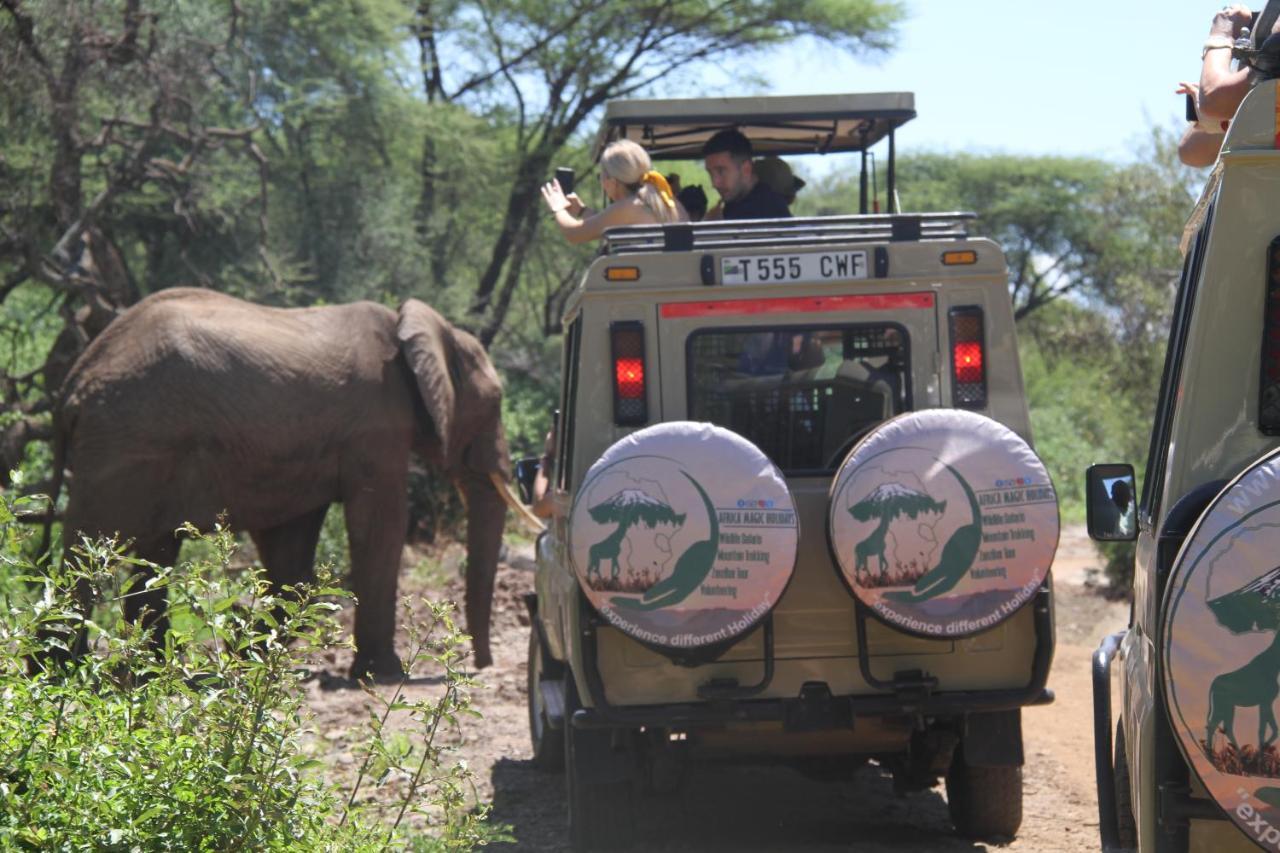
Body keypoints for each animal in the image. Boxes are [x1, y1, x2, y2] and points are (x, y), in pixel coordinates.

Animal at [49, 285, 537, 676]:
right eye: (494, 403)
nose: (483, 664)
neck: (417, 329)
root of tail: (74, 382)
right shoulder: (375, 430)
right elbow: (379, 526)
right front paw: (382, 673)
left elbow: (290, 551)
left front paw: (251, 656)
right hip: (125, 443)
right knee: (87, 553)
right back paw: (62, 675)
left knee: (154, 555)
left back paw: (147, 674)